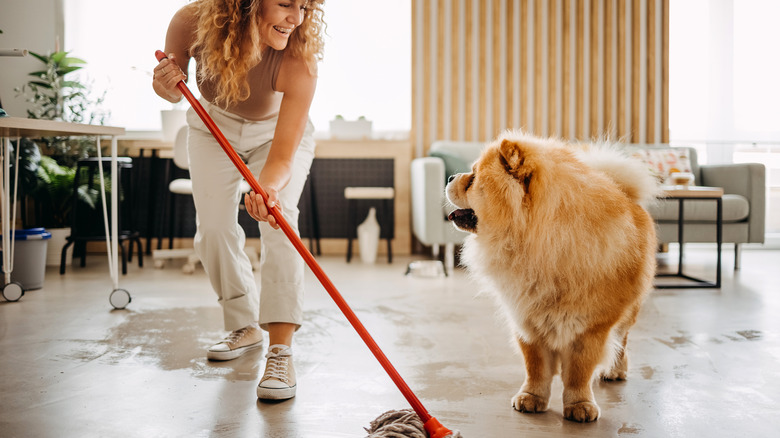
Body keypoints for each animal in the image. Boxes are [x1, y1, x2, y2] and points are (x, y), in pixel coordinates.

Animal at [444, 132, 660, 422]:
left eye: (474, 178)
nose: (449, 177)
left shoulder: (590, 328)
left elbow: (579, 371)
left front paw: (580, 405)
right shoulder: (527, 320)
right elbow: (536, 367)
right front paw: (531, 398)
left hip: (628, 311)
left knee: (621, 340)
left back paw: (615, 370)